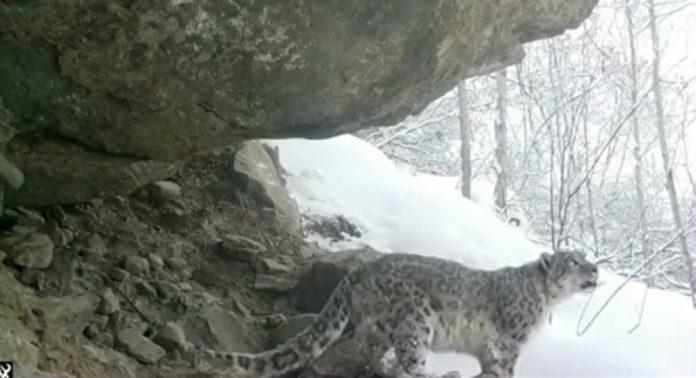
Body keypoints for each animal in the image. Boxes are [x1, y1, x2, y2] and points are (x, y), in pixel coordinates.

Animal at [197, 250, 600, 376]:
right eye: (573, 260)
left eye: (586, 258)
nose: (595, 269)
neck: (548, 301)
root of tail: (357, 272)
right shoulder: (509, 342)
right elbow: (505, 369)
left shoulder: (491, 347)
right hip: (416, 321)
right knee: (409, 363)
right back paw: (439, 373)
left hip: (379, 327)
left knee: (364, 353)